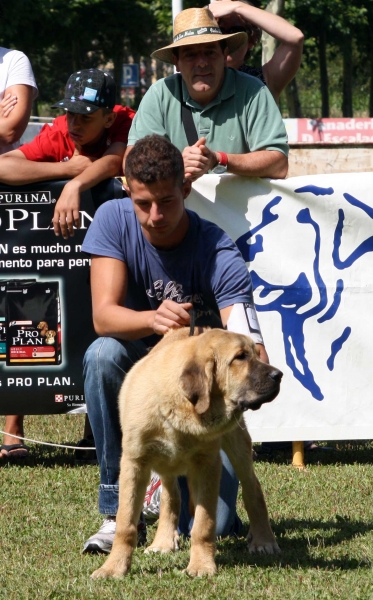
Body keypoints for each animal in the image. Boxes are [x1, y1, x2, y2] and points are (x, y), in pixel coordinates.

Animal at [92, 328, 282, 576]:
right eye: (240, 357)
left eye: (256, 354)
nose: (279, 375)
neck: (181, 408)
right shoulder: (134, 463)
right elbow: (125, 524)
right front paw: (113, 568)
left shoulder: (208, 465)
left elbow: (203, 524)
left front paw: (201, 565)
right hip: (165, 464)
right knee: (171, 497)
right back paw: (162, 541)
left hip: (237, 444)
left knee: (253, 489)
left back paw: (263, 540)